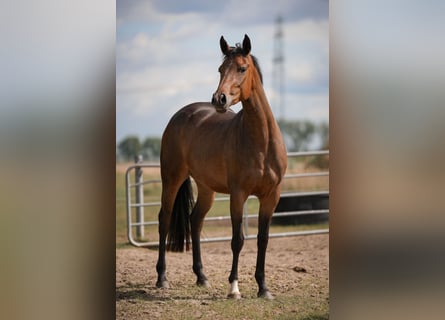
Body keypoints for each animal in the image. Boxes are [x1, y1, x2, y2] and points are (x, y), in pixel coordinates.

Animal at [156, 35, 286, 300]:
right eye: (220, 69)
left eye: (242, 68)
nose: (219, 99)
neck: (262, 142)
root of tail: (181, 115)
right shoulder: (238, 194)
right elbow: (238, 240)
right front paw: (234, 288)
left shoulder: (271, 196)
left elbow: (263, 239)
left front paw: (263, 288)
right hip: (172, 178)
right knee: (164, 219)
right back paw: (162, 278)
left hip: (206, 188)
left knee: (195, 220)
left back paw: (202, 277)